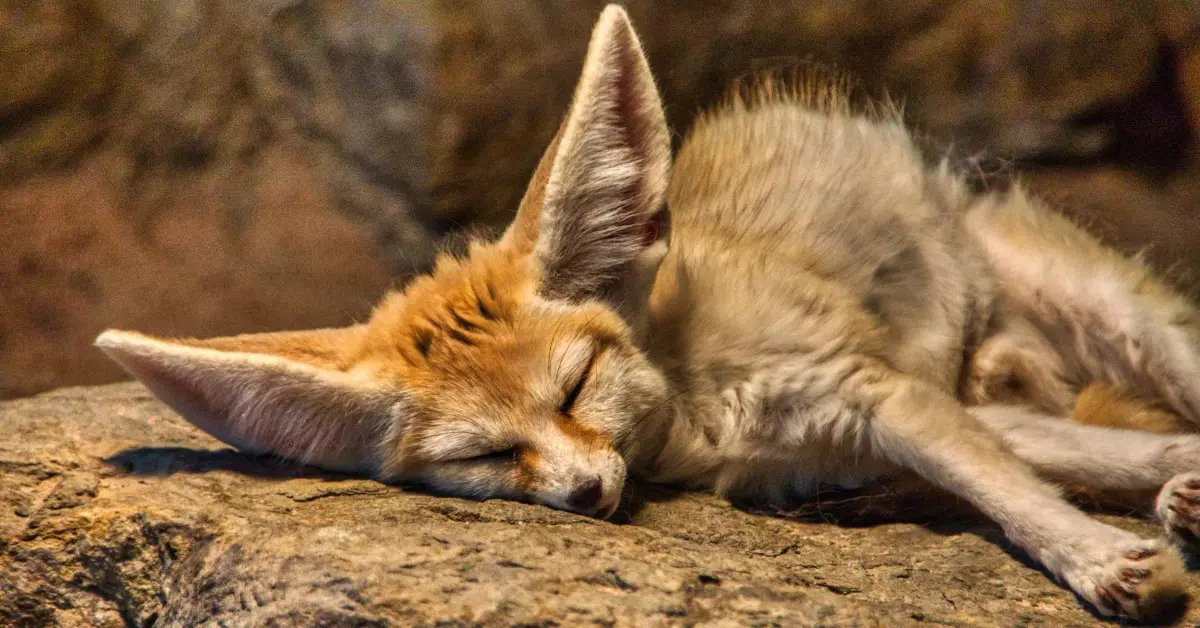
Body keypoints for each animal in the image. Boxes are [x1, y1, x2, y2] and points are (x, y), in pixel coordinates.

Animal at [95, 5, 1200, 621]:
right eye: (485, 457)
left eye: (575, 388)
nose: (586, 492)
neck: (695, 413)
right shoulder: (839, 444)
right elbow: (1057, 467)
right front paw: (1131, 524)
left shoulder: (873, 393)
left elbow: (1011, 497)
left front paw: (1104, 565)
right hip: (990, 388)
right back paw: (1178, 488)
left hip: (1123, 323)